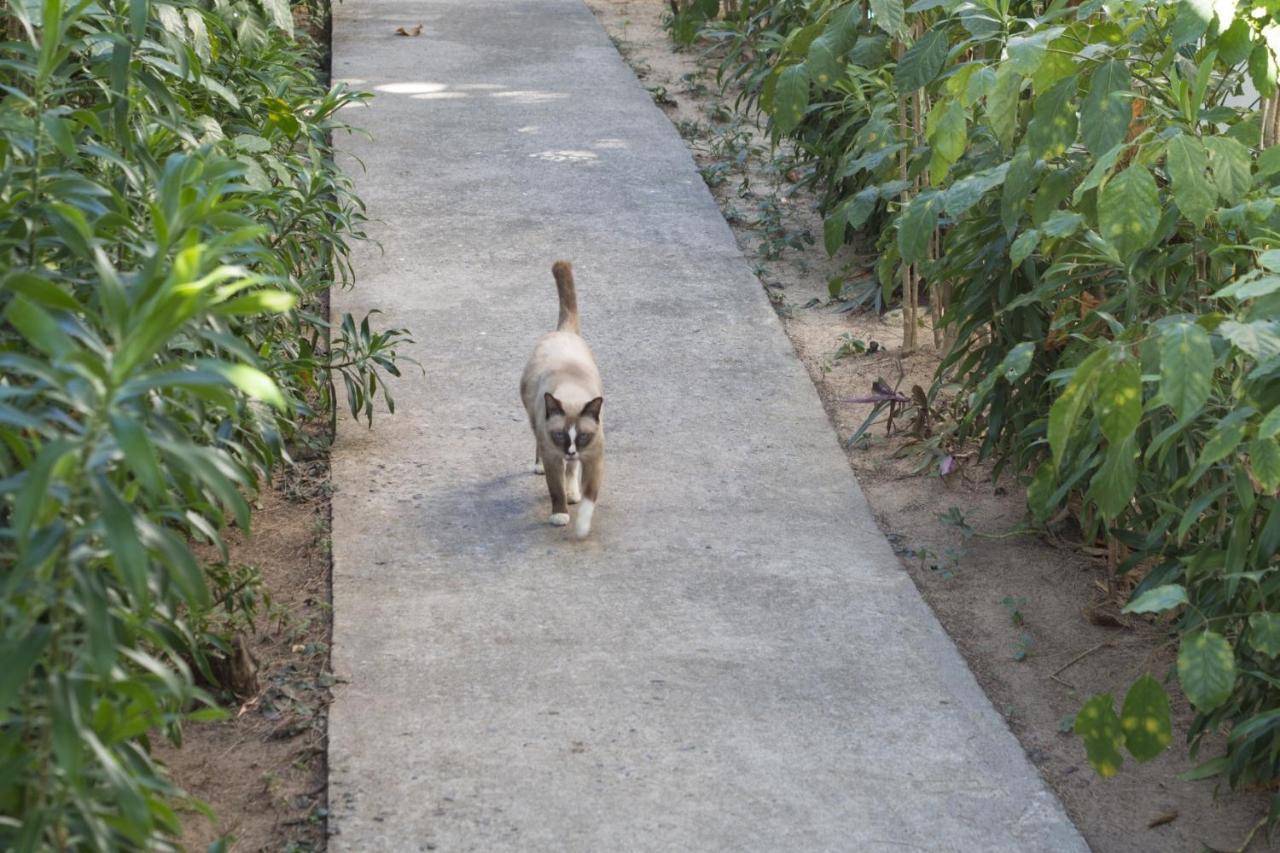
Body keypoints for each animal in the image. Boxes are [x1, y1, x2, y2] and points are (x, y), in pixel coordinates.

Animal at [517, 261, 601, 537]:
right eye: (560, 435)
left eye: (583, 436)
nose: (571, 450)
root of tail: (562, 332)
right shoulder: (553, 455)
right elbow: (555, 490)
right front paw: (560, 515)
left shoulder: (594, 458)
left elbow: (589, 497)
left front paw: (582, 528)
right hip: (534, 419)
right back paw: (541, 468)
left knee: (572, 472)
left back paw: (573, 490)